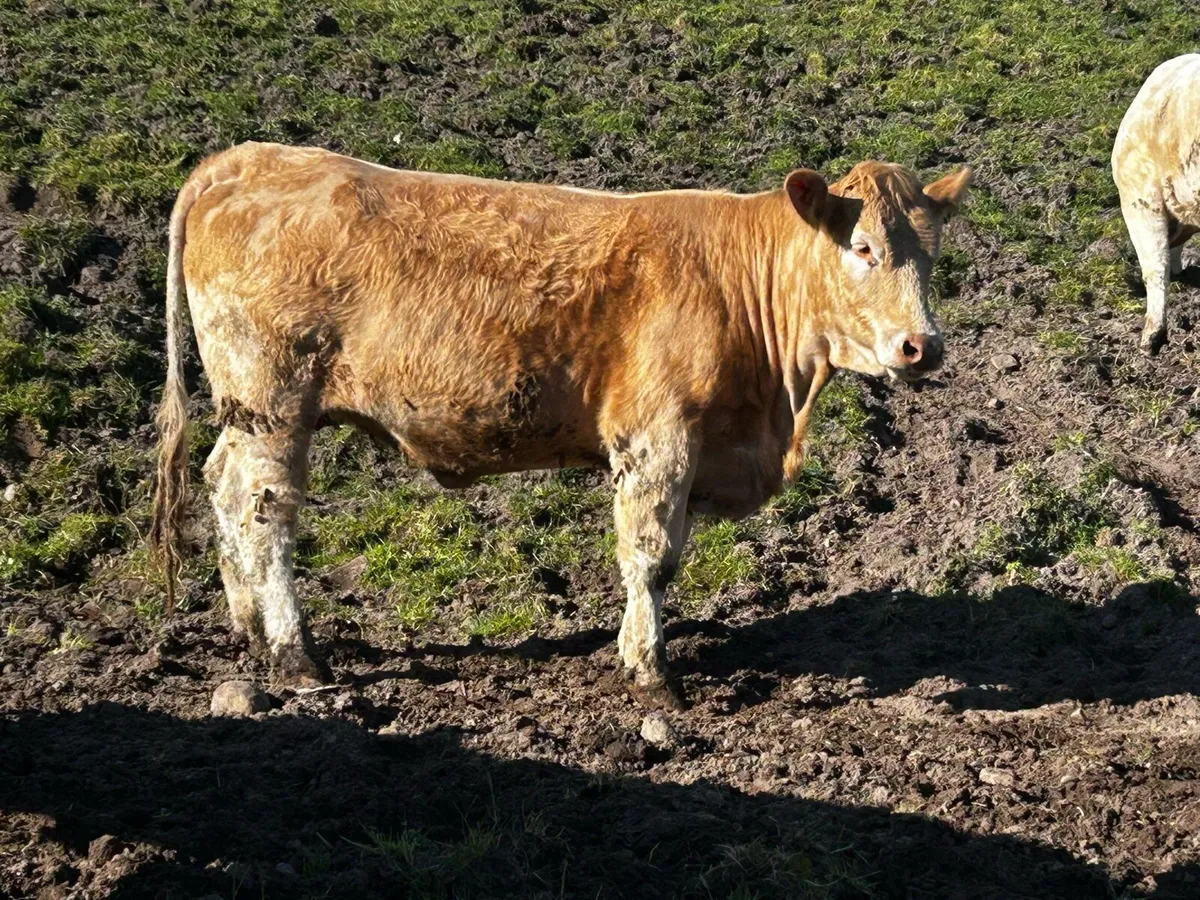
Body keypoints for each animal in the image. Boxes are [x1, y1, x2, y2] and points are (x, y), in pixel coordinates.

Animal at [151, 141, 970, 708]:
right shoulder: (657, 440)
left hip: (248, 412)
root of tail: (240, 160)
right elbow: (651, 558)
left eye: (931, 255)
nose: (922, 347)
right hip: (274, 401)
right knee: (265, 510)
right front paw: (649, 672)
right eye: (862, 249)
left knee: (223, 486)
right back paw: (294, 654)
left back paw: (246, 624)